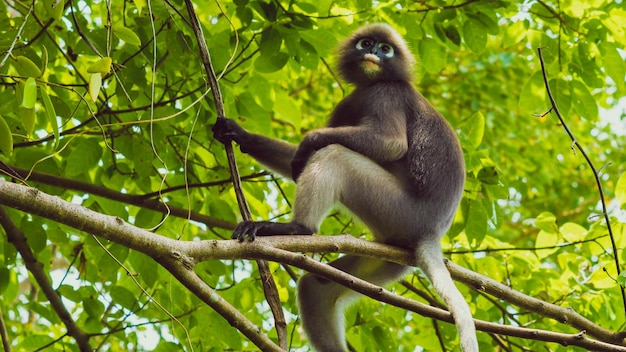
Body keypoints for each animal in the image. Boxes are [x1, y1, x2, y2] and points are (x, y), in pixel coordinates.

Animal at [212, 23, 476, 350]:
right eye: (367, 44)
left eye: (385, 49)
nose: (374, 54)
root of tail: (431, 233)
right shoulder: (350, 101)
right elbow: (295, 163)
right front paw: (237, 133)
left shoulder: (385, 93)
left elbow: (390, 144)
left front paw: (310, 140)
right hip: (392, 253)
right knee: (315, 286)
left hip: (398, 210)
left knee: (334, 154)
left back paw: (296, 228)